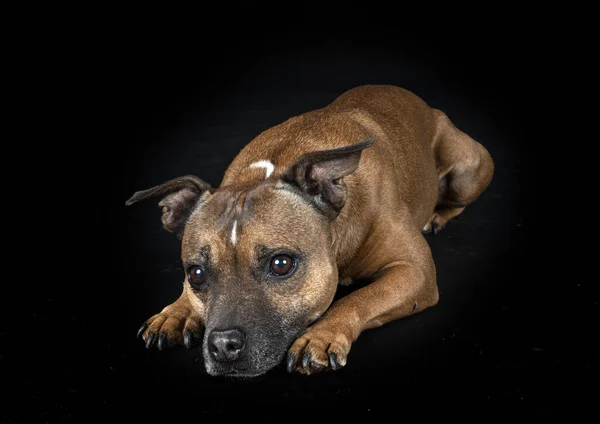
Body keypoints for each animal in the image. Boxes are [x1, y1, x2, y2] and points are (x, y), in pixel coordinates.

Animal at [125, 84, 492, 376]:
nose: (222, 345)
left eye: (281, 264)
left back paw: (437, 216)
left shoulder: (415, 271)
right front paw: (175, 311)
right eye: (196, 273)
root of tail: (427, 106)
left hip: (468, 171)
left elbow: (360, 298)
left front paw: (321, 335)